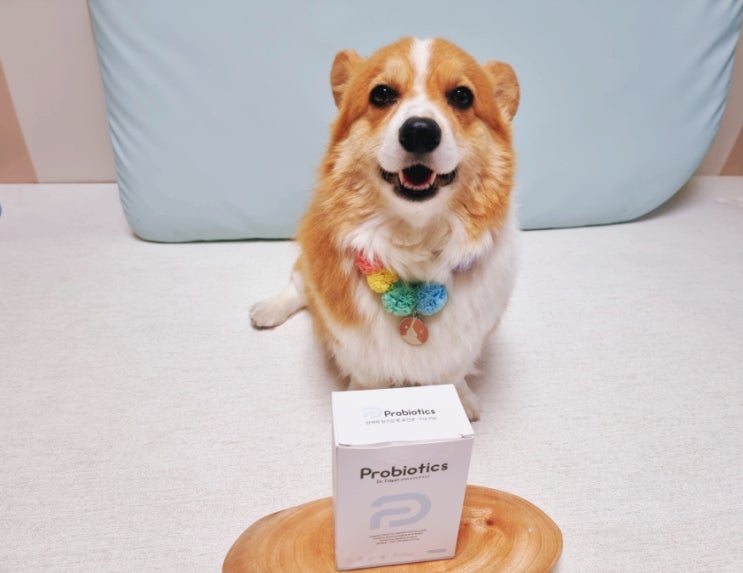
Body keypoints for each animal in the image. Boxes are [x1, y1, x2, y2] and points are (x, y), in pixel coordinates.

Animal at [250, 37, 519, 420]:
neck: (414, 243)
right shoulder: (353, 341)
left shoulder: (467, 337)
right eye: (381, 94)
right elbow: (366, 375)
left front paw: (461, 401)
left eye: (462, 96)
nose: (420, 131)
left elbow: (454, 373)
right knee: (298, 286)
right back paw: (267, 311)